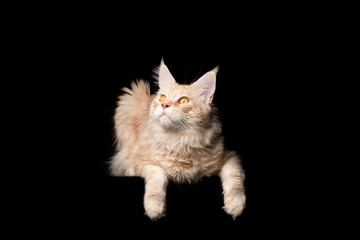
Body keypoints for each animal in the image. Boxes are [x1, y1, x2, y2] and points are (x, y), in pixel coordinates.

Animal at [109, 59, 245, 220]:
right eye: (162, 98)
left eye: (184, 100)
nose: (164, 104)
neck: (181, 141)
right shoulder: (141, 161)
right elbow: (157, 175)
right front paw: (154, 208)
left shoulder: (230, 156)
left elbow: (234, 178)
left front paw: (236, 205)